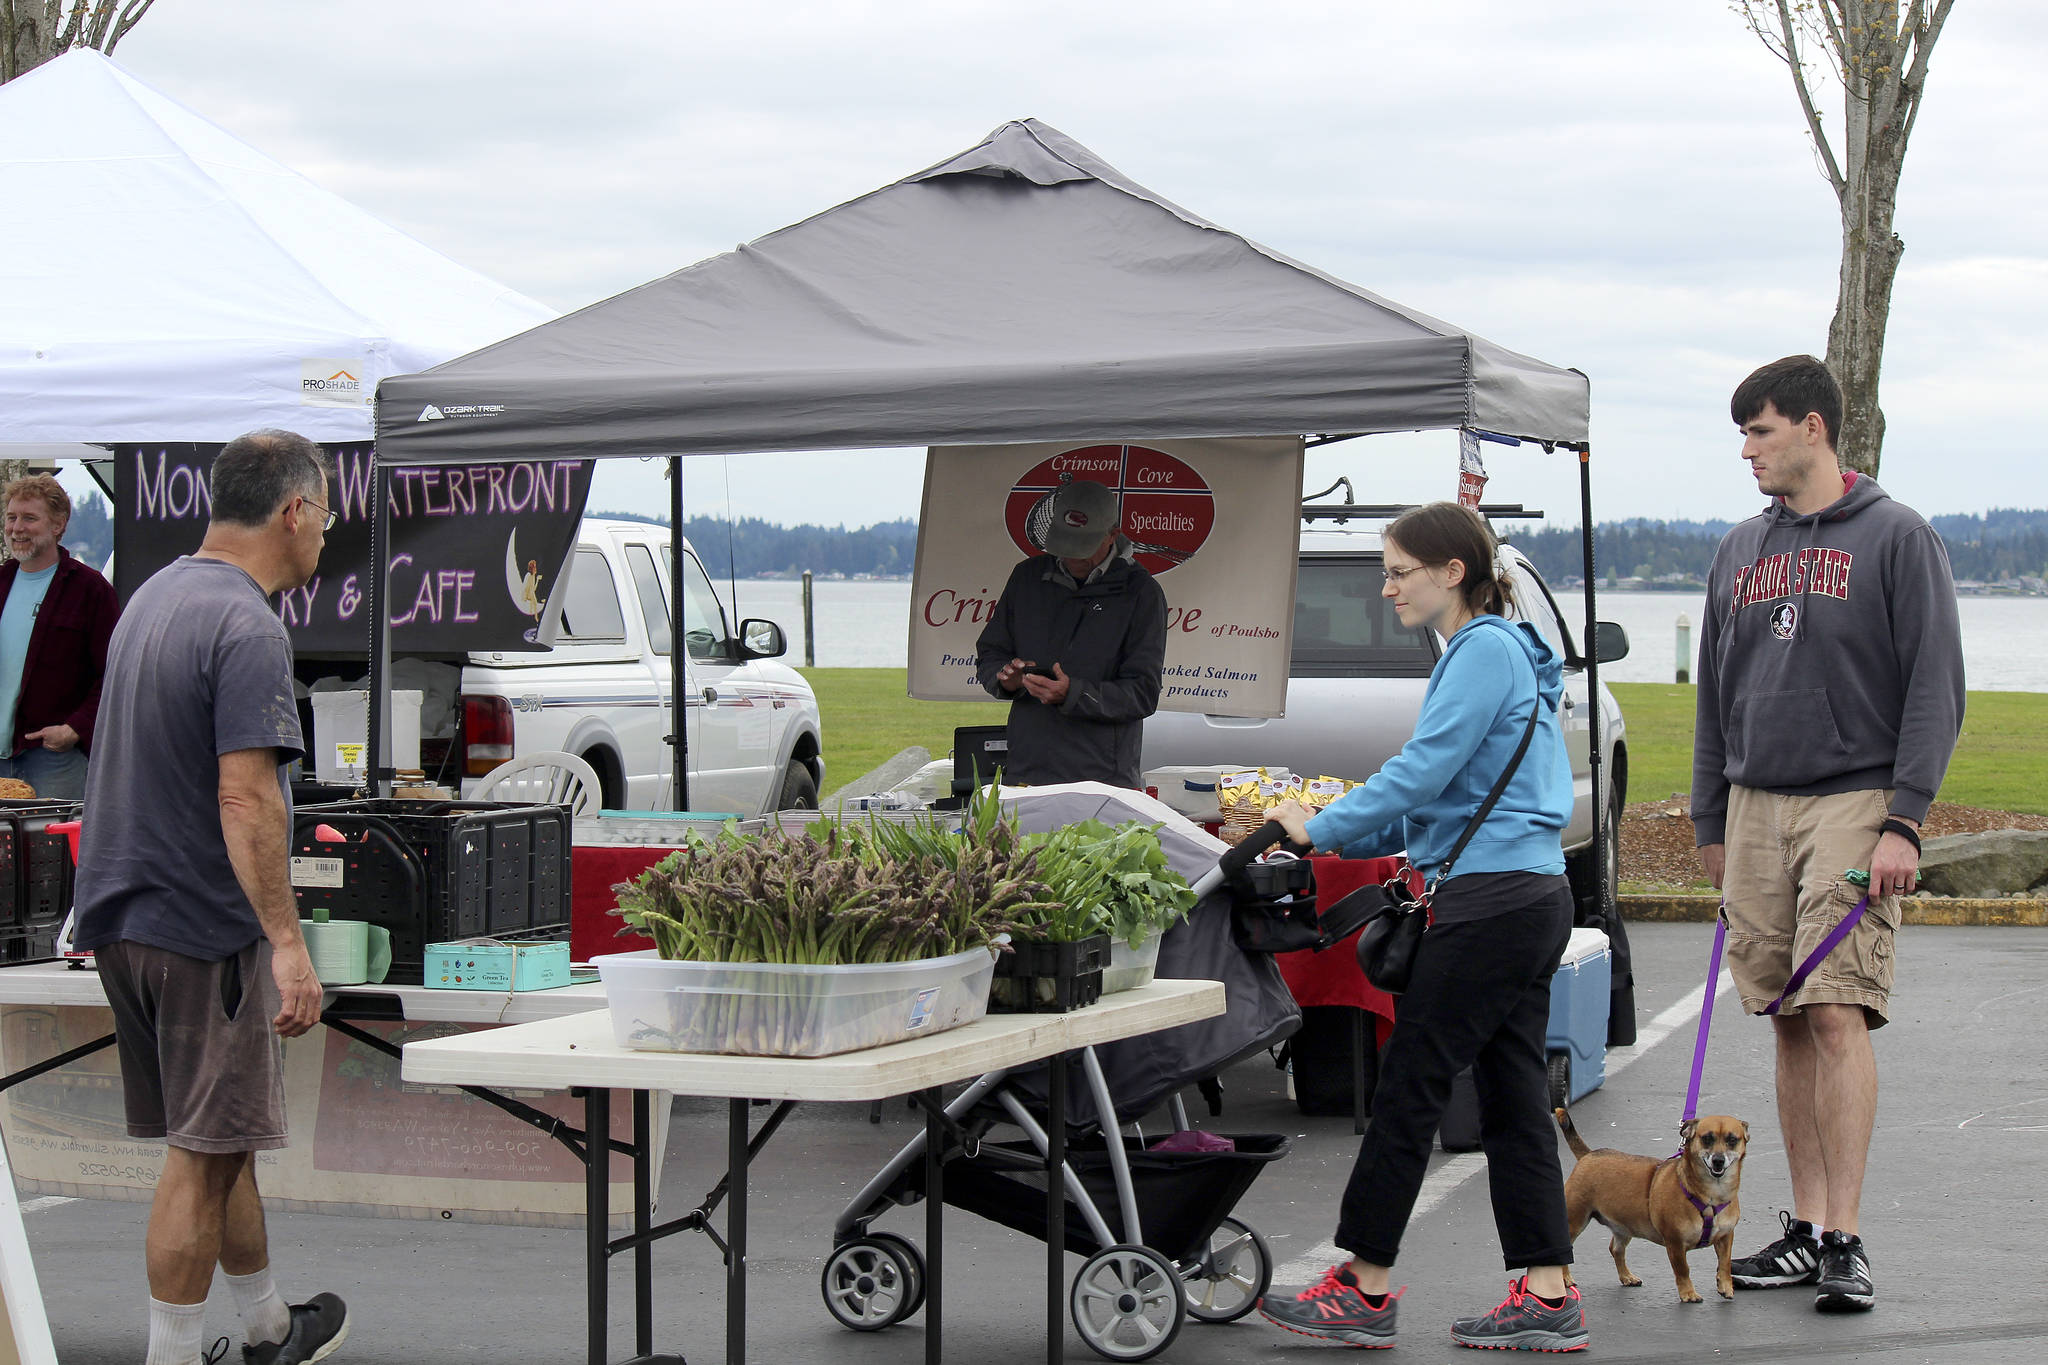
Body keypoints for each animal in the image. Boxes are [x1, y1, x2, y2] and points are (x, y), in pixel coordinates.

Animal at [1556, 1113, 1753, 1301]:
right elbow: (1683, 1270)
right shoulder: (1675, 1243)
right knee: (1565, 1252)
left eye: (1732, 1140)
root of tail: (1587, 1155)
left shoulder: (1726, 1237)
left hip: (1624, 1227)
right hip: (1575, 1221)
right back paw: (1565, 1278)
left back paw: (1627, 1276)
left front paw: (1725, 1286)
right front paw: (1688, 1293)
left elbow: (1725, 1264)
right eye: (1707, 1139)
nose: (1718, 1160)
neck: (1712, 1195)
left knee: (1616, 1249)